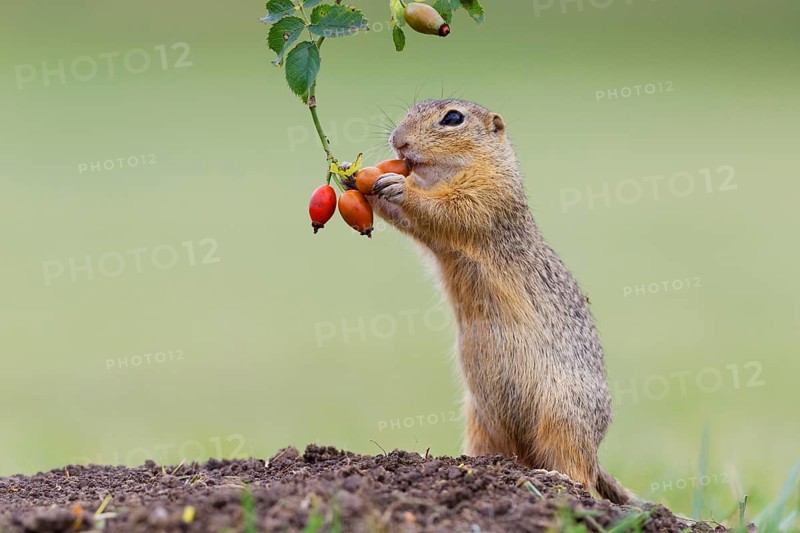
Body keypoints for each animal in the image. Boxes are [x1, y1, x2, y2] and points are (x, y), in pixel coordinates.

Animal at [349, 99, 632, 504]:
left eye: (453, 118)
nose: (397, 141)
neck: (447, 174)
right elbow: (417, 222)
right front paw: (357, 179)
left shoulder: (486, 197)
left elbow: (449, 210)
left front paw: (396, 186)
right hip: (480, 420)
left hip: (563, 416)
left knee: (578, 472)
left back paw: (555, 478)